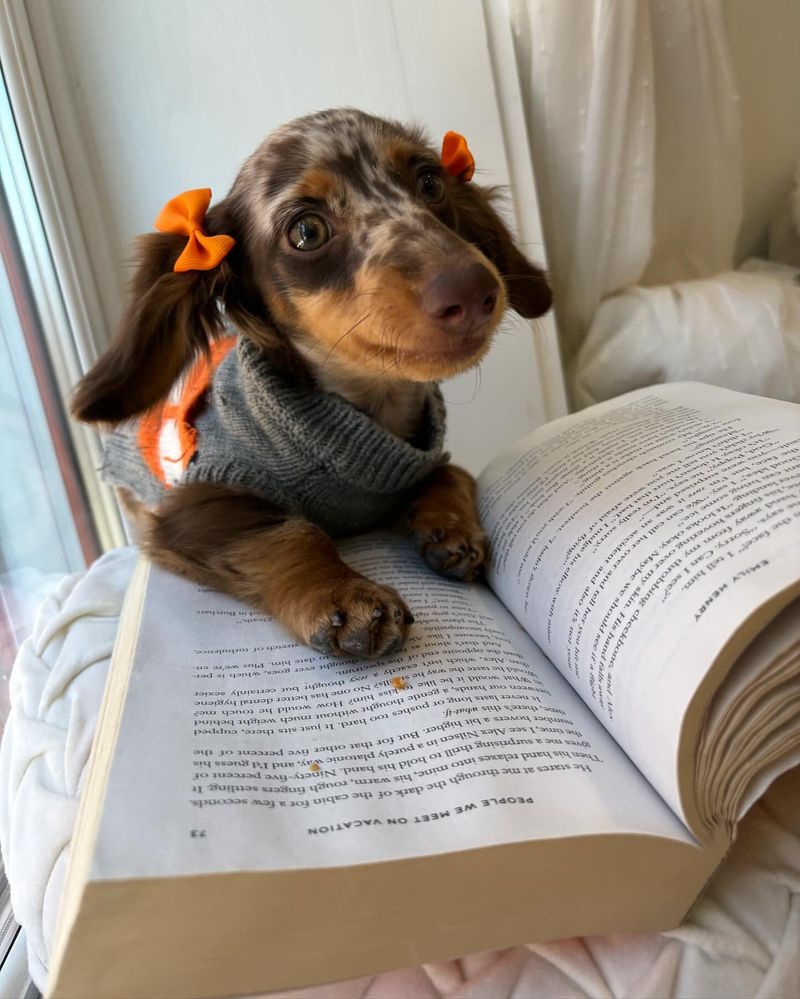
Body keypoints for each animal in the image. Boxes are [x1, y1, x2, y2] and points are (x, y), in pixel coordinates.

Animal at [73, 109, 552, 660]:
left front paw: (450, 528)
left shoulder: (419, 460)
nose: (474, 292)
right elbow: (291, 532)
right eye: (306, 231)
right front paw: (342, 593)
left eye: (431, 182)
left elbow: (451, 474)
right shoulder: (192, 507)